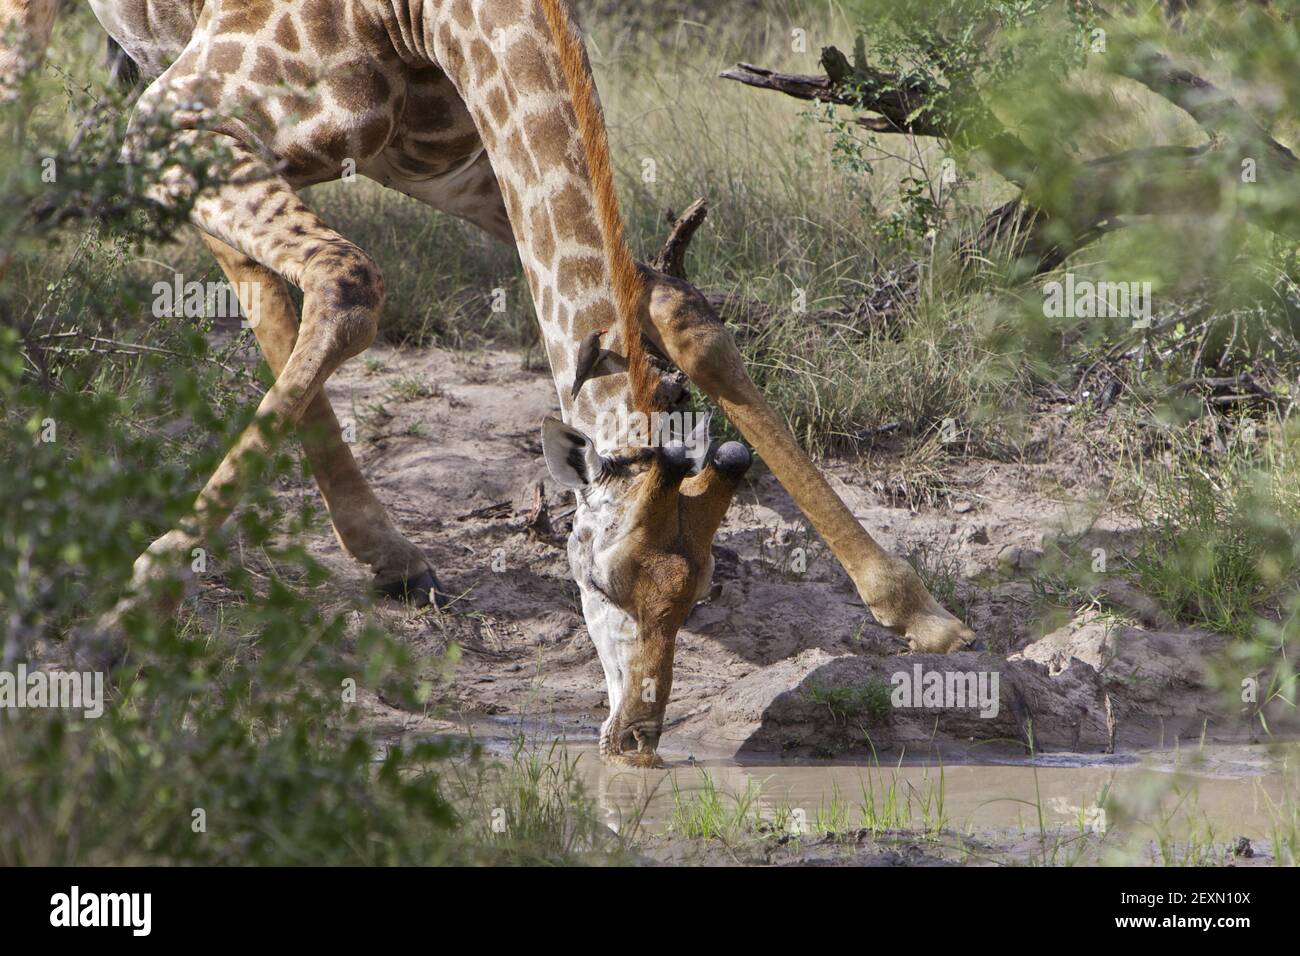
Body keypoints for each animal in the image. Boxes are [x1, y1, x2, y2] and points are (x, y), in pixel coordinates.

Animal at [2, 0, 975, 767]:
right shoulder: (180, 111)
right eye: (602, 581)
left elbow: (678, 312)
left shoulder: (458, 162)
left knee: (250, 270)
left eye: (700, 589)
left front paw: (921, 612)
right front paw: (108, 629)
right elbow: (352, 286)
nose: (635, 739)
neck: (425, 20)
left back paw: (389, 553)